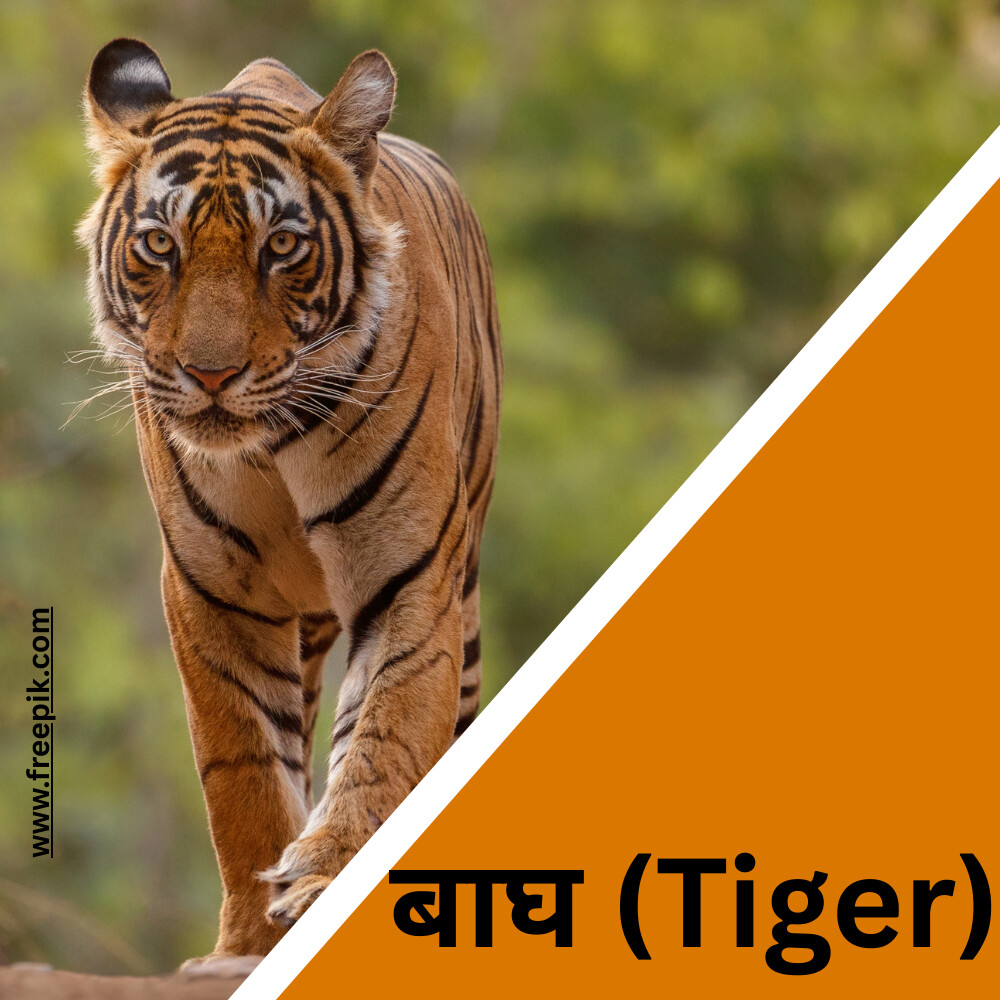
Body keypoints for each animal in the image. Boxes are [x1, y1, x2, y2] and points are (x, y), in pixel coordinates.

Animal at [77, 38, 502, 971]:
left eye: (282, 247)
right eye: (159, 244)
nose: (210, 374)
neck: (270, 449)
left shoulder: (410, 574)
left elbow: (384, 739)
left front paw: (326, 876)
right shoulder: (211, 591)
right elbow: (243, 775)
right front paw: (244, 940)